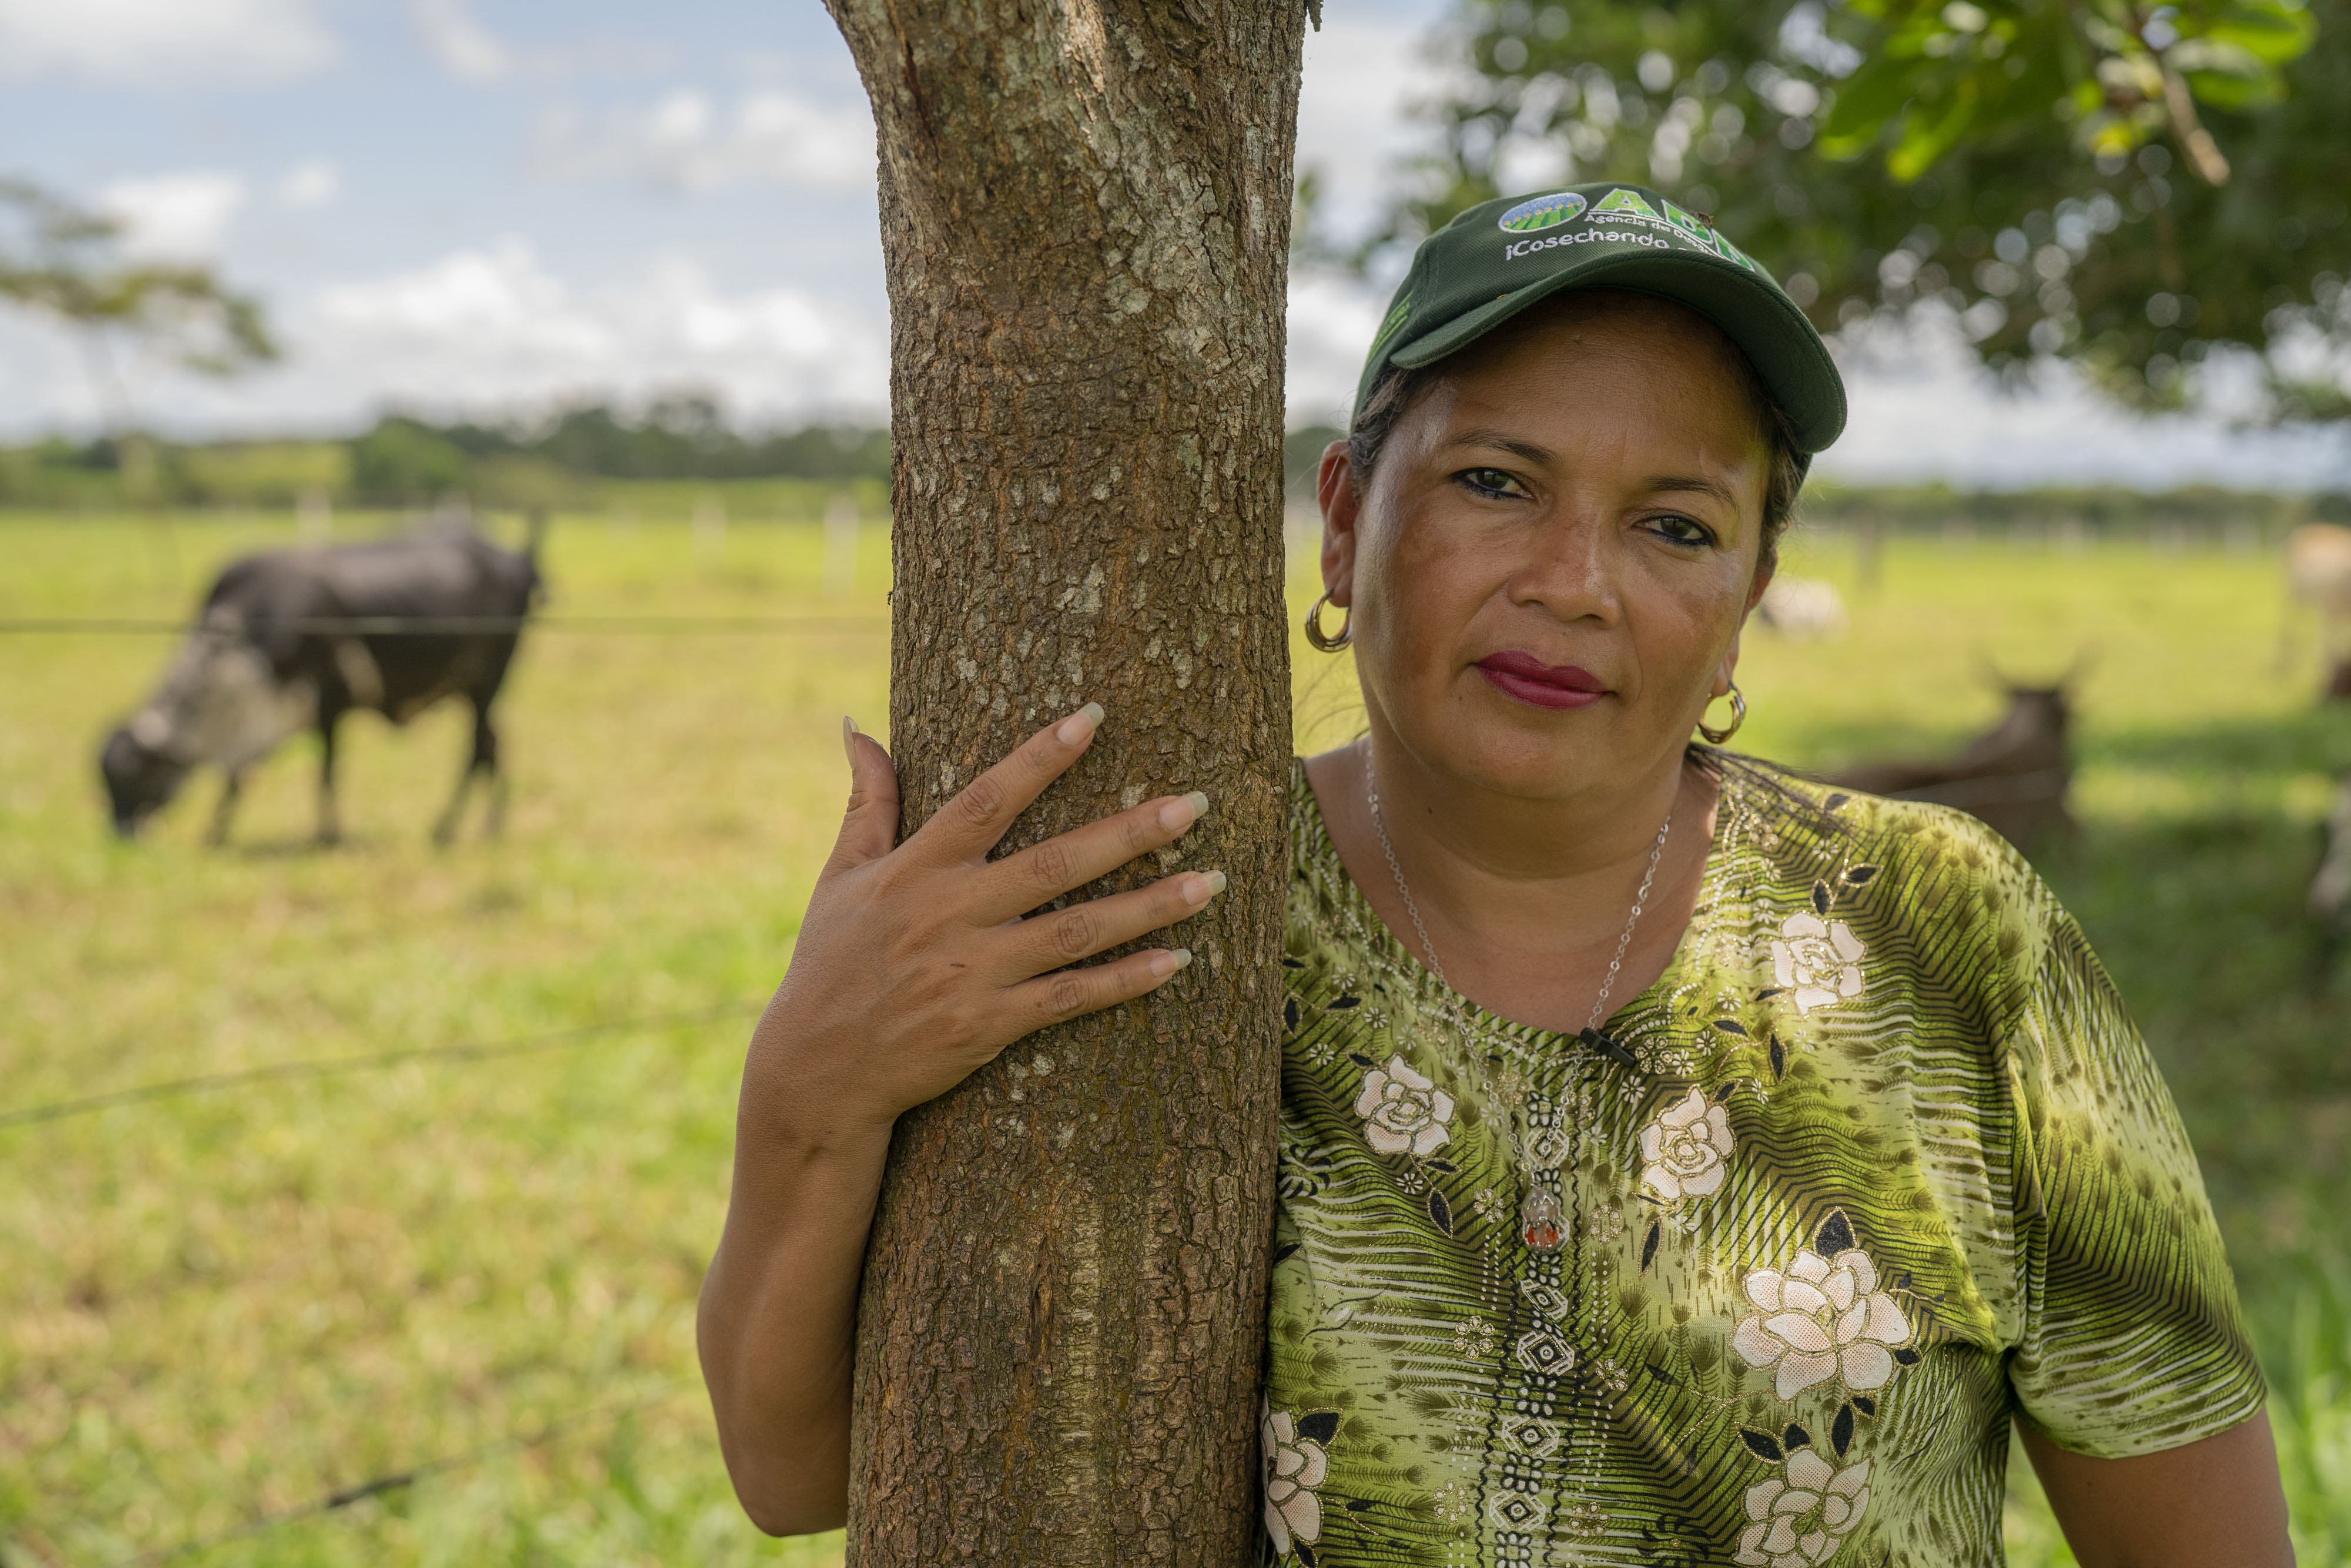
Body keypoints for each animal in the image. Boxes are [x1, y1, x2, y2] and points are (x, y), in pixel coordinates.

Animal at [102, 517, 545, 851]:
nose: (122, 835)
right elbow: (238, 776)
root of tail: (516, 560)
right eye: (103, 780)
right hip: (475, 689)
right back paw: (489, 826)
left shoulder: (328, 701)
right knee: (493, 744)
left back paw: (448, 828)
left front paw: (330, 835)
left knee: (477, 749)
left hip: (488, 682)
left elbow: (326, 772)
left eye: (133, 776)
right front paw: (217, 834)